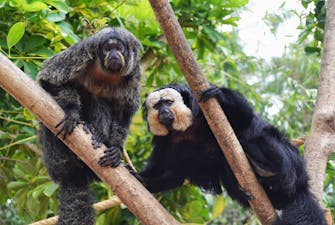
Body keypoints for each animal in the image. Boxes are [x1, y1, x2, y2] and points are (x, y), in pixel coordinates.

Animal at [38, 27, 143, 225]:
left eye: (119, 48)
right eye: (108, 48)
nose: (114, 54)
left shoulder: (133, 76)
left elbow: (123, 114)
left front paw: (116, 148)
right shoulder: (80, 54)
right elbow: (48, 80)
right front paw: (72, 111)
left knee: (100, 101)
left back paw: (98, 134)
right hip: (55, 158)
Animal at [134, 84, 328, 225]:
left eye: (168, 102)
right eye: (157, 105)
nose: (163, 112)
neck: (186, 129)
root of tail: (300, 187)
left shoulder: (204, 111)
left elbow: (244, 119)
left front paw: (220, 95)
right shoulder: (165, 142)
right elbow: (172, 173)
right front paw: (141, 179)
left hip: (294, 164)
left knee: (256, 138)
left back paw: (268, 171)